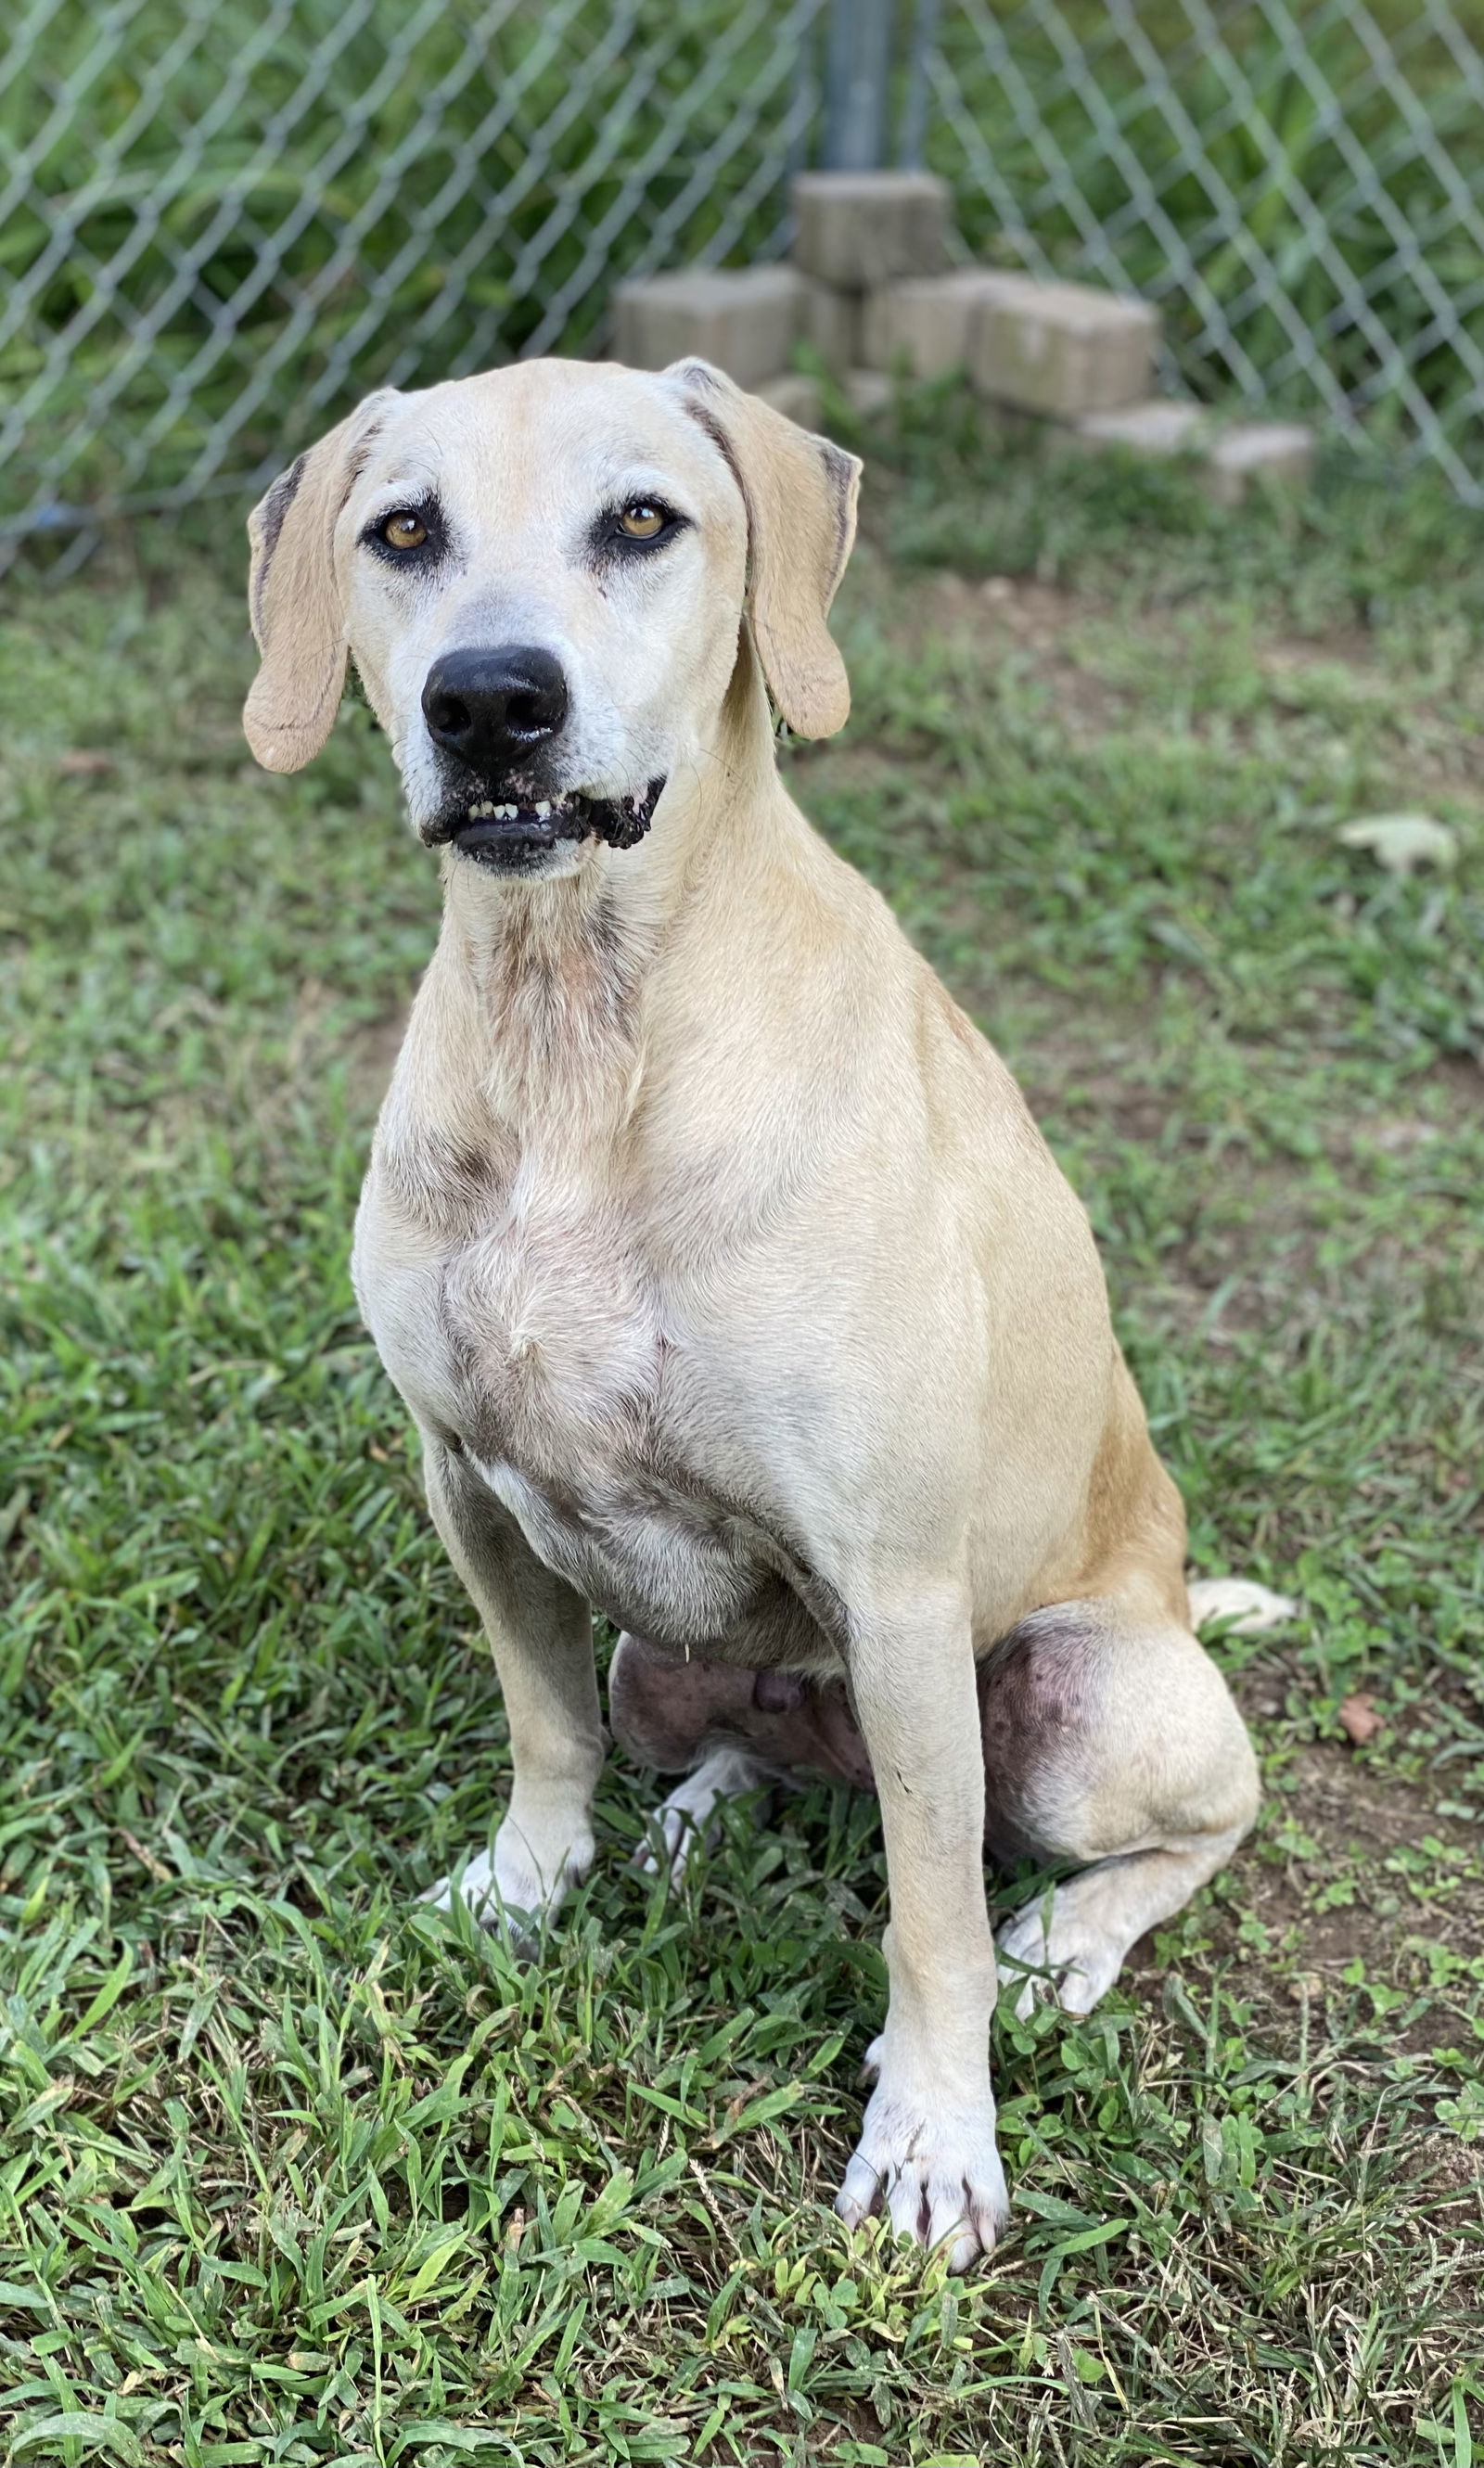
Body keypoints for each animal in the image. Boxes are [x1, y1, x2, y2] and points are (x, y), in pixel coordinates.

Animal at [243, 357, 1284, 2260]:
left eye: (643, 519)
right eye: (403, 531)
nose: (489, 700)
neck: (578, 1026)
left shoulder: (897, 1584)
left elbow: (930, 1919)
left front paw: (936, 2134)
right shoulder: (469, 1487)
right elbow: (545, 1731)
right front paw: (528, 1885)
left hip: (1082, 1702)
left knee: (1184, 1830)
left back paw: (1065, 1941)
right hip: (678, 1653)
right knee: (746, 1742)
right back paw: (701, 1818)